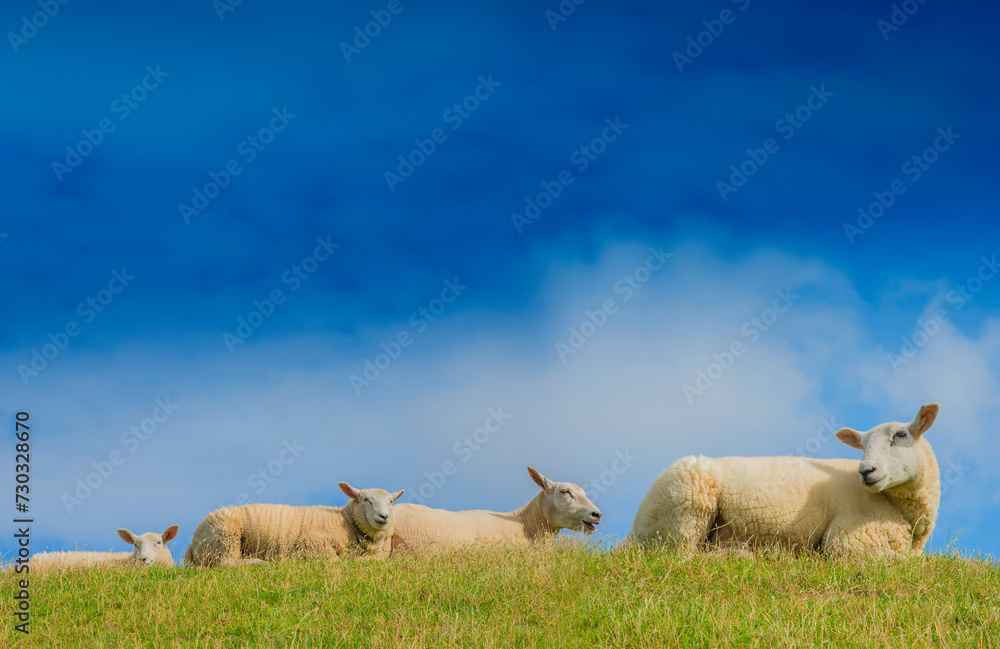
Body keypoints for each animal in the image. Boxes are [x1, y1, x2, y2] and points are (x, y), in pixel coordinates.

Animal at [184, 482, 404, 567]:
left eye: (391, 502)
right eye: (366, 500)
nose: (384, 516)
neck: (345, 520)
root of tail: (193, 544)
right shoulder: (314, 545)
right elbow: (335, 561)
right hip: (225, 536)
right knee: (224, 563)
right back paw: (257, 562)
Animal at [627, 404, 942, 557]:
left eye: (900, 435)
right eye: (862, 446)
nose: (866, 471)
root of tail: (632, 532)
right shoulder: (849, 541)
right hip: (687, 506)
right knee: (681, 555)